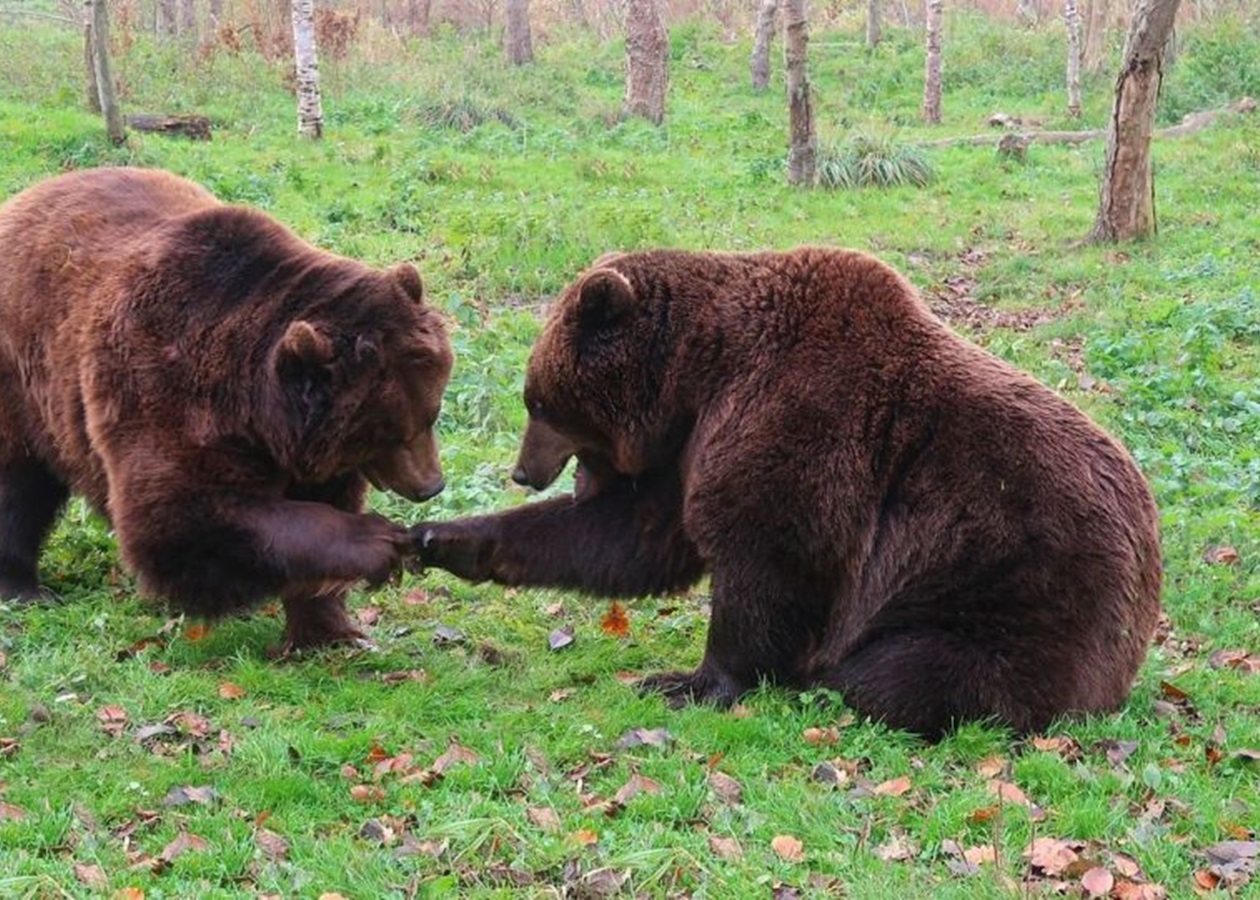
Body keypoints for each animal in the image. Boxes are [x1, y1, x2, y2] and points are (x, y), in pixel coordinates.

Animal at [0, 166, 453, 645]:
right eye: (391, 433)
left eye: (431, 414)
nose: (430, 485)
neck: (255, 409)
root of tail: (27, 196)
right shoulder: (166, 389)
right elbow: (183, 518)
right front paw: (377, 542)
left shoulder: (307, 448)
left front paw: (328, 630)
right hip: (24, 378)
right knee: (17, 484)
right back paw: (23, 587)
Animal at [418, 247, 1164, 736]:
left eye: (538, 401)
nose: (523, 471)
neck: (700, 371)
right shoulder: (692, 448)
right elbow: (632, 537)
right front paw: (445, 537)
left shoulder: (797, 423)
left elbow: (769, 560)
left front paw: (689, 681)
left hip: (1014, 594)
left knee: (907, 674)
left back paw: (835, 679)